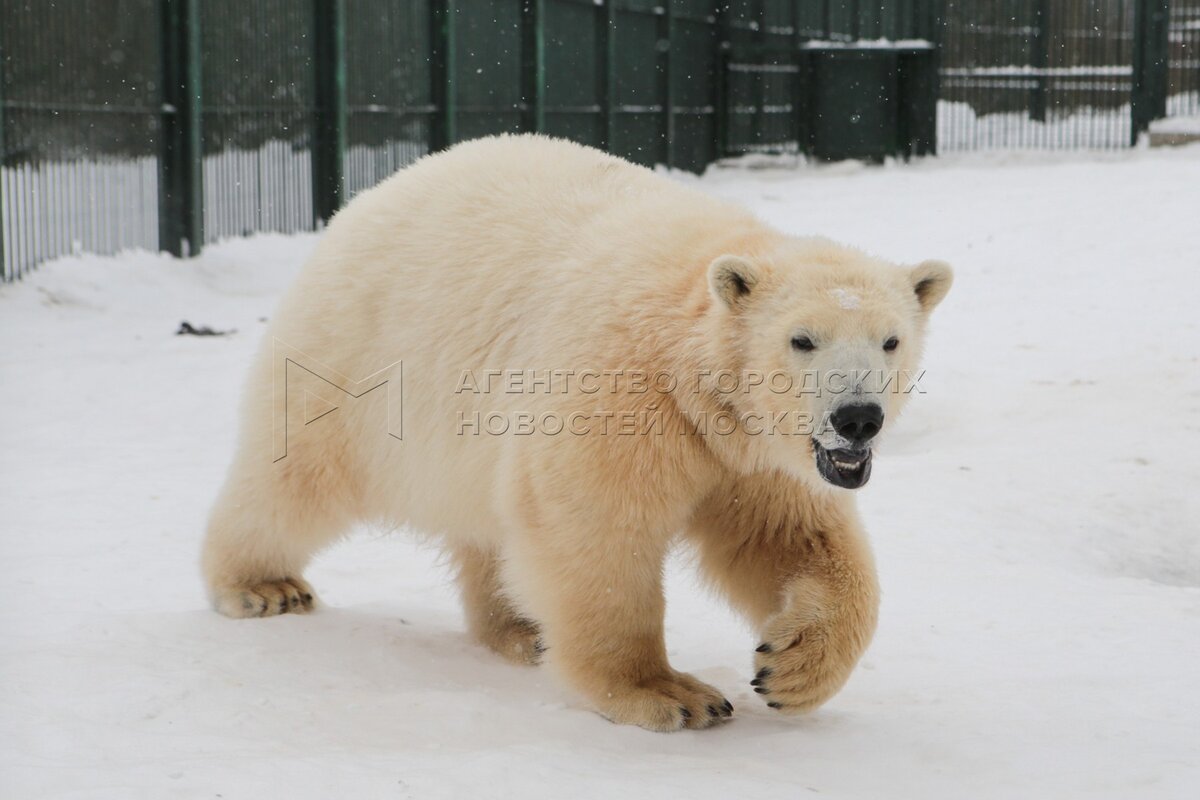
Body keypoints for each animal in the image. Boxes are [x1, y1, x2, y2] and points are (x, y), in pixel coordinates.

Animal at [201, 133, 950, 734]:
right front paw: (670, 694)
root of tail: (367, 198)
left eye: (890, 340)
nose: (857, 417)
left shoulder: (749, 452)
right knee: (297, 480)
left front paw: (791, 669)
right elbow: (595, 529)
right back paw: (262, 586)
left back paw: (519, 628)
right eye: (802, 339)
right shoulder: (621, 388)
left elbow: (793, 537)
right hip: (358, 362)